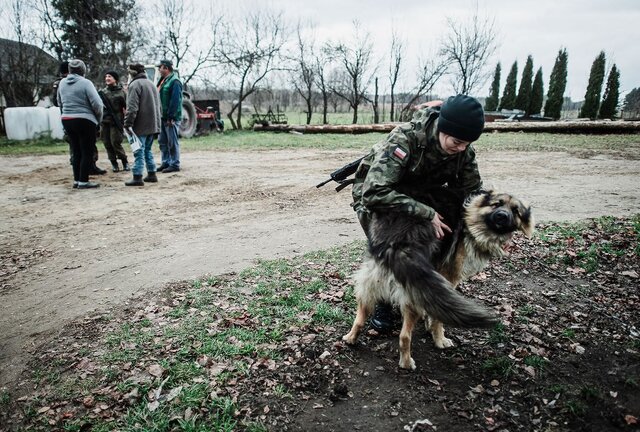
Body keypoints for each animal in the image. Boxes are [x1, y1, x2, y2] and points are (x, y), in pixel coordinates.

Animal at [342, 191, 532, 370]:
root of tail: (397, 243)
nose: (502, 216)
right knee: (404, 336)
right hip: (412, 296)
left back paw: (350, 338)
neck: (470, 219)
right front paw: (439, 338)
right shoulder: (448, 278)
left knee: (360, 318)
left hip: (370, 282)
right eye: (496, 204)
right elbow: (438, 319)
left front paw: (429, 323)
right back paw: (406, 363)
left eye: (515, 211)